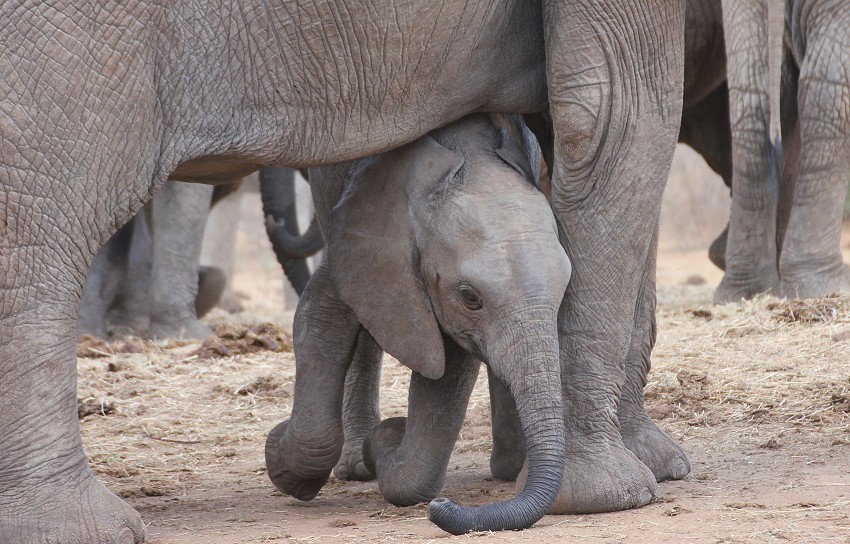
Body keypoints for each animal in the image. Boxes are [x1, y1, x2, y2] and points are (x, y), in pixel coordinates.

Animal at [264, 115, 568, 536]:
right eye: (470, 297)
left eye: (565, 287)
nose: (444, 505)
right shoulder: (366, 232)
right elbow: (319, 316)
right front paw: (283, 460)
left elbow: (447, 375)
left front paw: (387, 438)